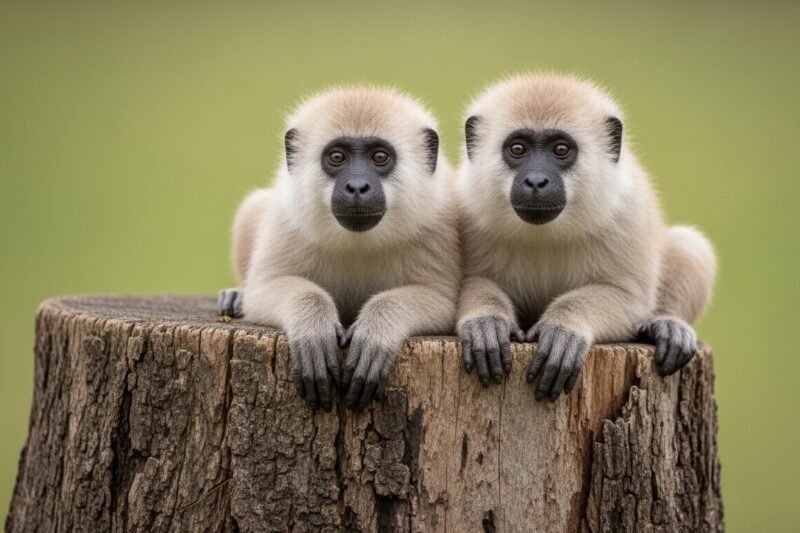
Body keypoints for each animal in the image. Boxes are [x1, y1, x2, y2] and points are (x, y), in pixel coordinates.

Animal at [220, 86, 460, 412]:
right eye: (337, 157)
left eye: (379, 157)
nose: (357, 187)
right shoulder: (288, 219)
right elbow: (262, 293)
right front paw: (313, 332)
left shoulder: (437, 223)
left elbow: (443, 301)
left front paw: (375, 335)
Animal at [456, 73, 716, 400]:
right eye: (517, 149)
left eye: (560, 150)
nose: (536, 181)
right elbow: (472, 283)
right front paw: (486, 323)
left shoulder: (627, 214)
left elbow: (630, 299)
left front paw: (564, 329)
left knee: (690, 246)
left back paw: (669, 328)